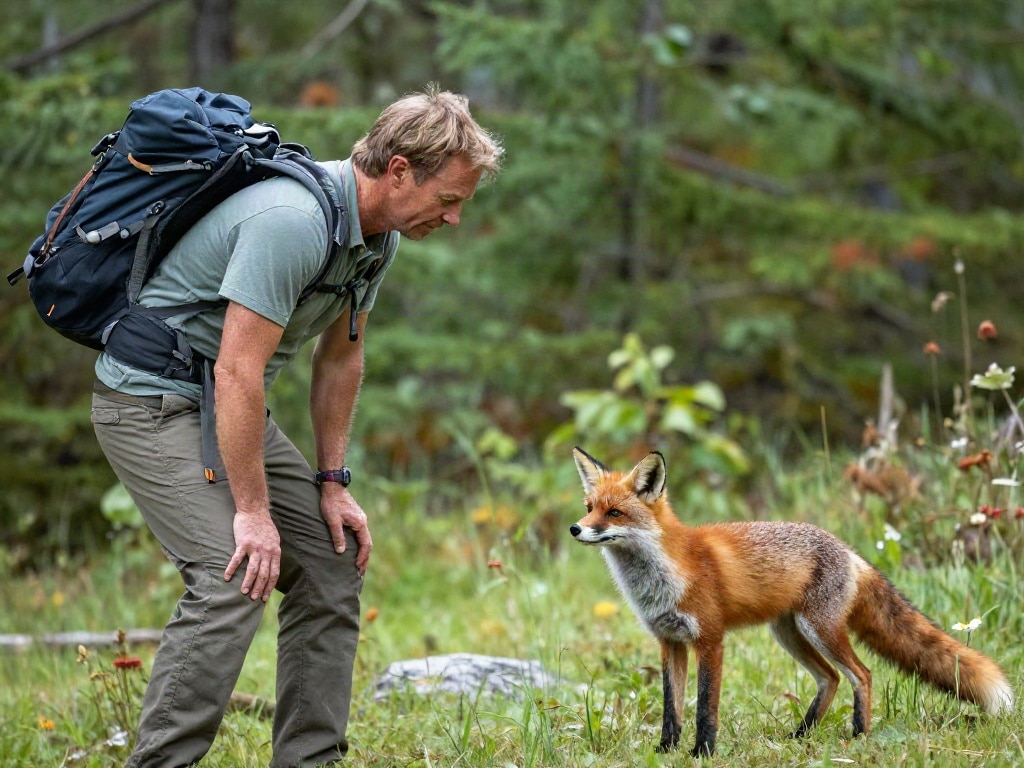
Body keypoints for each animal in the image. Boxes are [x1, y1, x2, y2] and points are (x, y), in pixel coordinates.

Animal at [570, 447, 1013, 757]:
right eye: (590, 508)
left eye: (615, 513)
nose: (576, 528)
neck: (662, 575)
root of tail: (849, 551)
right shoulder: (669, 642)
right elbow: (671, 708)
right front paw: (665, 751)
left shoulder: (710, 640)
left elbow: (704, 708)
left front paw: (702, 753)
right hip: (790, 634)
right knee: (831, 679)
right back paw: (801, 736)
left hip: (821, 631)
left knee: (862, 674)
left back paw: (859, 736)